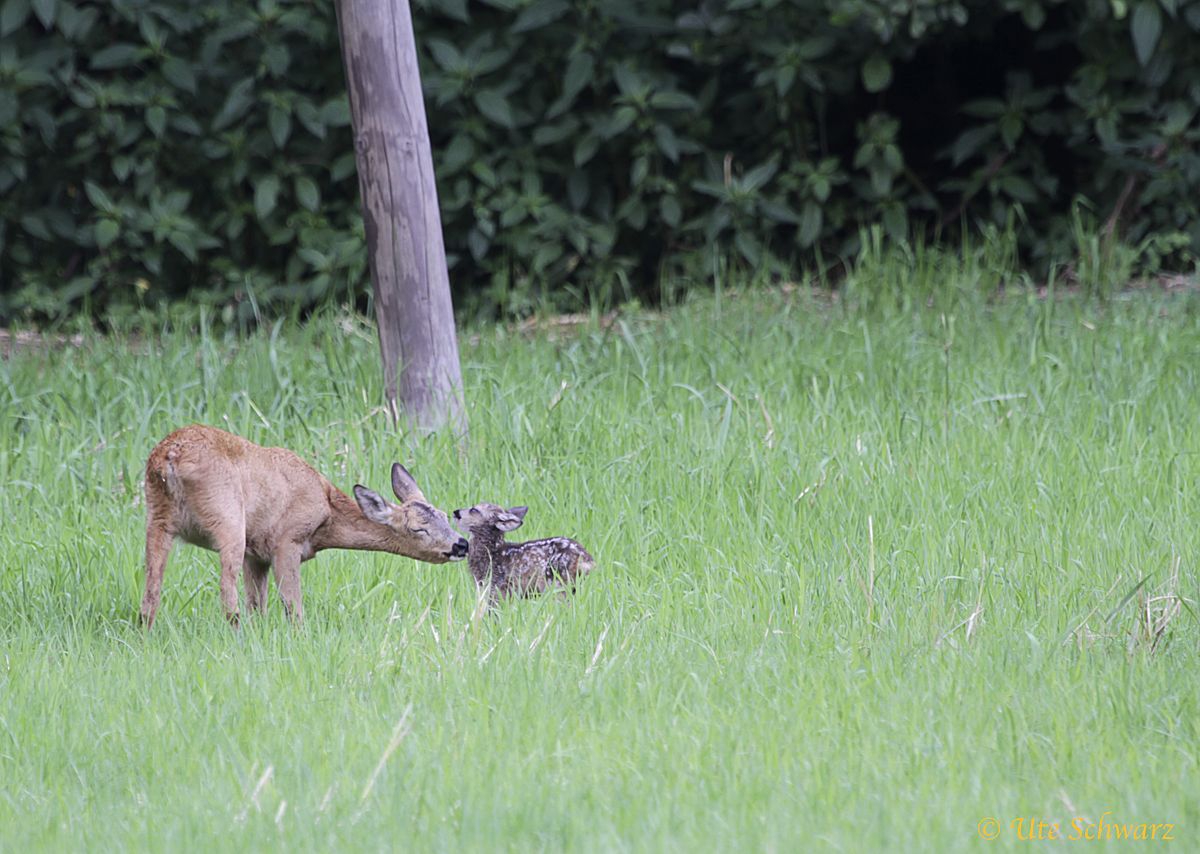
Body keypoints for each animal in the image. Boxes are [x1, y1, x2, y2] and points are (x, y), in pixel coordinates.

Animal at [136, 424, 463, 628]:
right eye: (418, 529)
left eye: (445, 516)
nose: (461, 544)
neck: (325, 519)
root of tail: (168, 458)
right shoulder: (286, 541)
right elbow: (293, 608)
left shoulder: (256, 554)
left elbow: (258, 607)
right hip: (228, 517)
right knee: (227, 594)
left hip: (158, 518)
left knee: (150, 592)